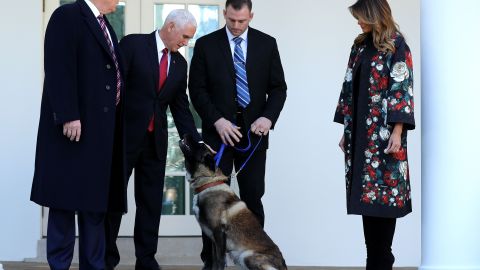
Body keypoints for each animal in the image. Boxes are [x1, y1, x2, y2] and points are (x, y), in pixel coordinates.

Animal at [178, 134, 286, 270]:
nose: (186, 134)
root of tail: (283, 264)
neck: (208, 183)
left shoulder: (219, 233)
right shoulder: (214, 239)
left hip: (246, 255)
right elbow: (215, 261)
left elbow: (220, 261)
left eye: (200, 146)